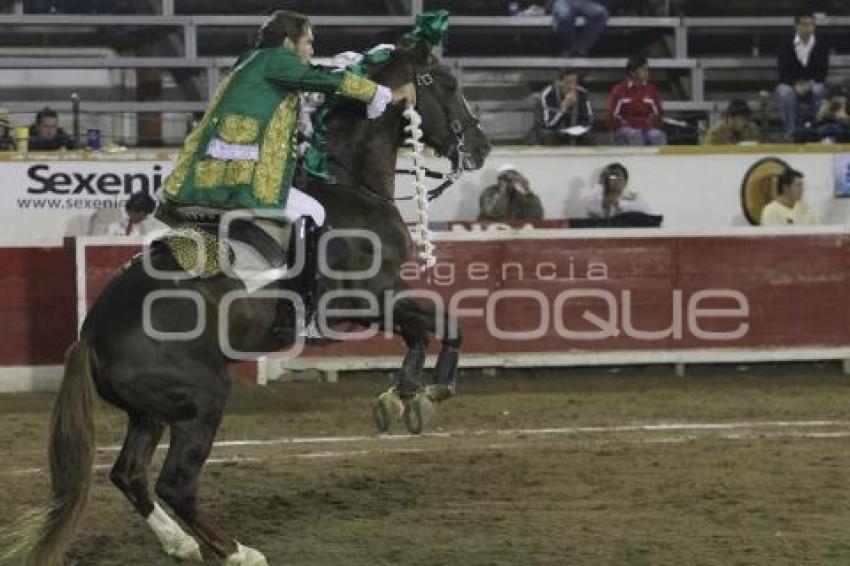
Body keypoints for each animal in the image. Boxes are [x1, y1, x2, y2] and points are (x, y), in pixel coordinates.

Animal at [9, 40, 490, 566]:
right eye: (448, 84)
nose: (482, 147)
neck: (350, 187)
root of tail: (89, 338)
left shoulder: (376, 301)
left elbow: (420, 329)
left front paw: (403, 395)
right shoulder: (369, 296)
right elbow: (447, 323)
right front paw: (430, 391)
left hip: (150, 414)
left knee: (129, 474)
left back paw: (181, 544)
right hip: (202, 402)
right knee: (175, 484)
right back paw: (236, 550)